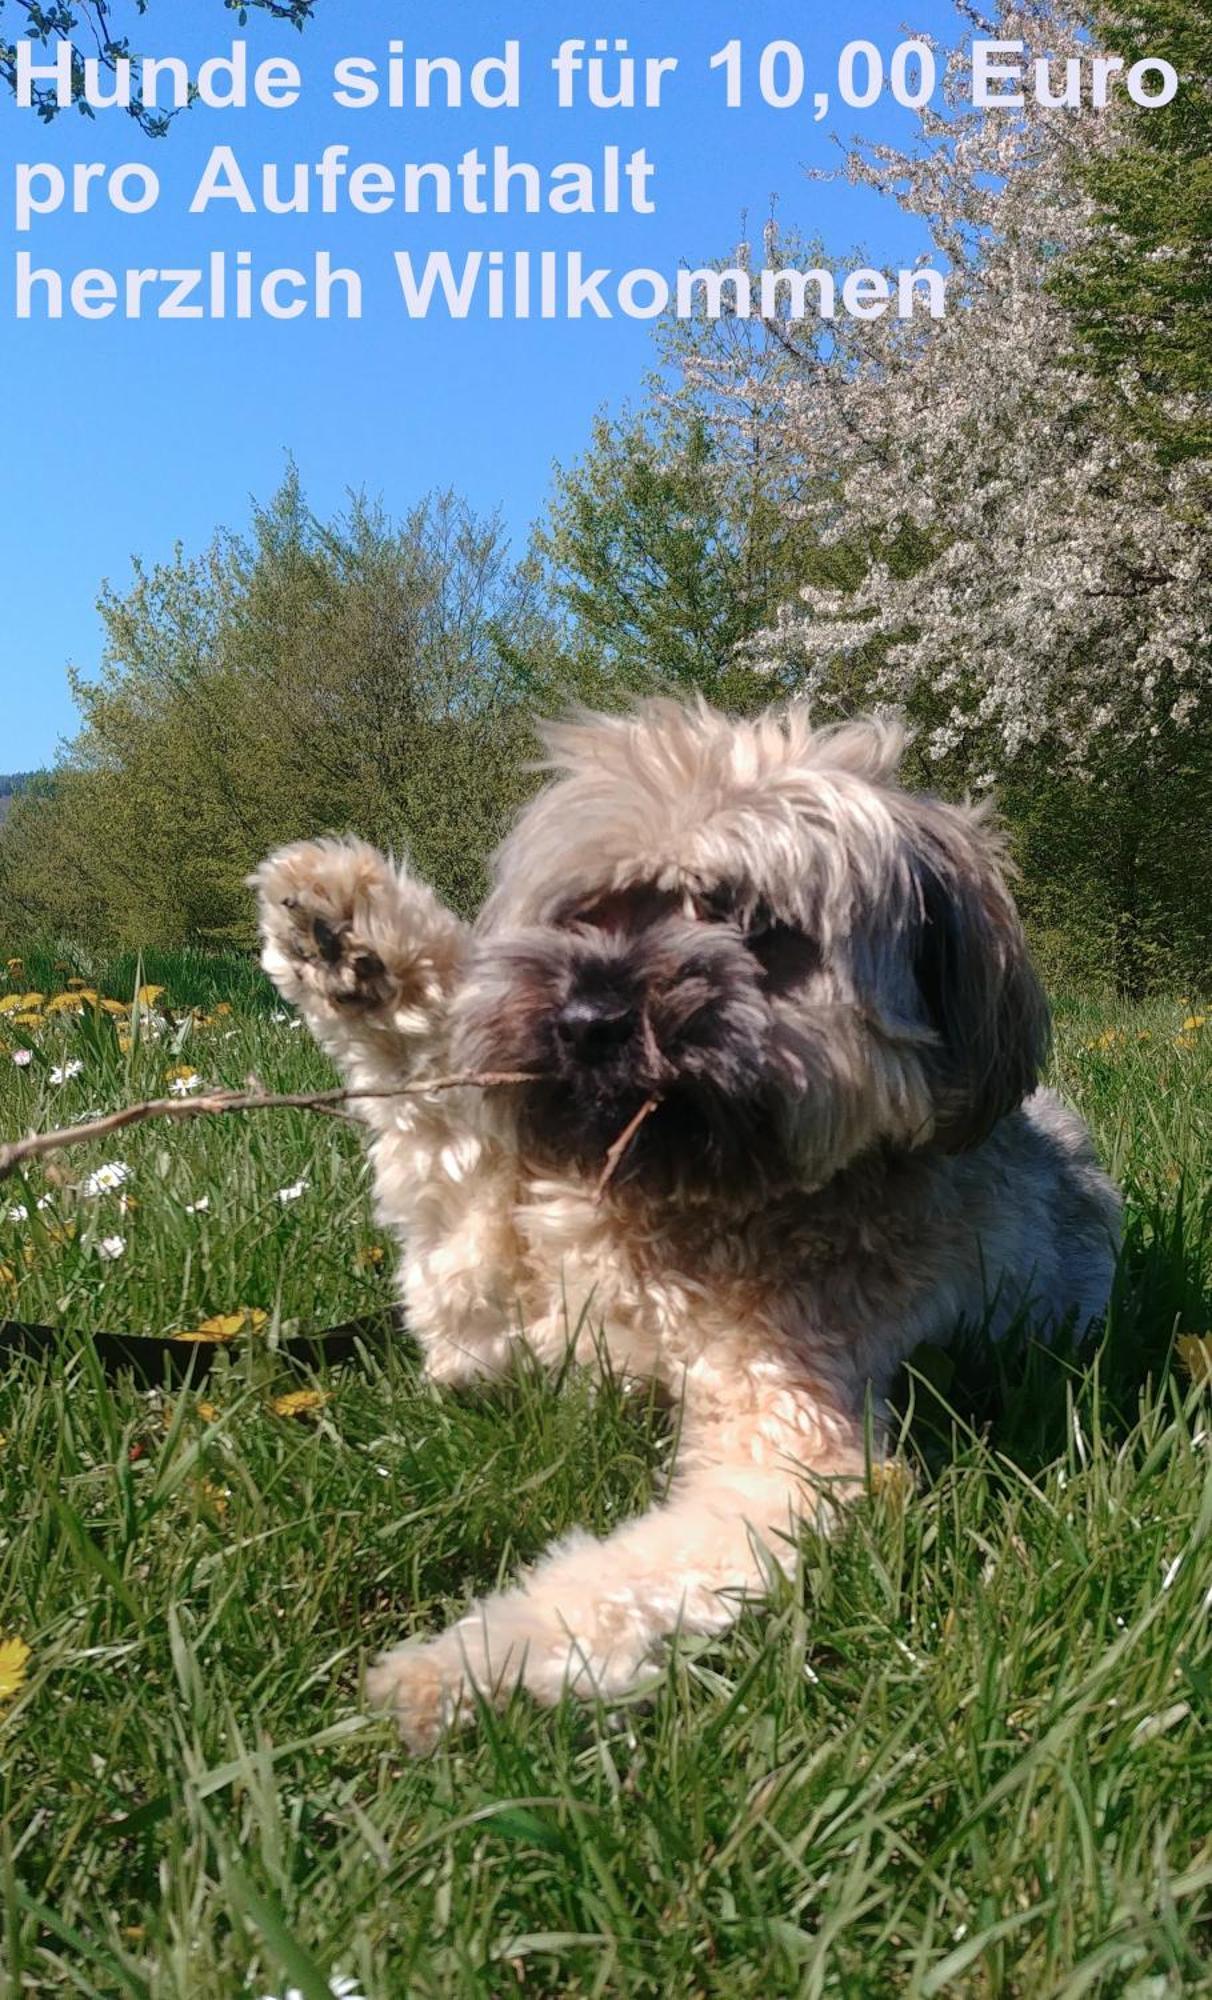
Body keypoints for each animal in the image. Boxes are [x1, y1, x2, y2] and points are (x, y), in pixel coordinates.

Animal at [252, 704, 1128, 1752]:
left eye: (759, 929)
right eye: (590, 911)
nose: (590, 1018)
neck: (672, 1215)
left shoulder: (794, 1458)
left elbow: (617, 1583)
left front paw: (464, 1665)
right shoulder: (487, 1337)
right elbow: (443, 1155)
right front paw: (349, 936)